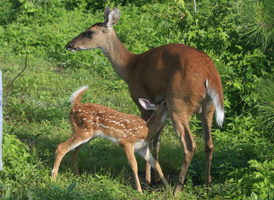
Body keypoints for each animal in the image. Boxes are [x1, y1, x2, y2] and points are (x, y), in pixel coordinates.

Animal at [65, 6, 224, 197]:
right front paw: (155, 178)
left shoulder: (142, 98)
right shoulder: (159, 102)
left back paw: (177, 189)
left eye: (89, 32)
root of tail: (210, 75)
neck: (129, 67)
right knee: (209, 144)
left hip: (178, 102)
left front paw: (148, 178)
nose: (68, 45)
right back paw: (207, 185)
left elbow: (149, 137)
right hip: (208, 107)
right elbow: (157, 139)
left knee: (189, 145)